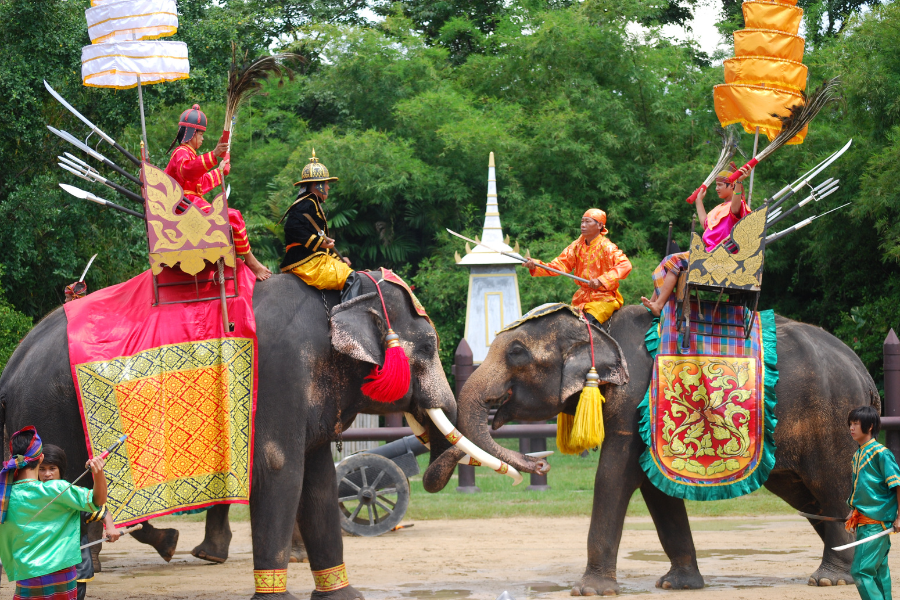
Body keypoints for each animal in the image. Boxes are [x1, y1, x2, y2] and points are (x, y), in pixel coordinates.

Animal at [0, 274, 536, 600]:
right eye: (426, 347)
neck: (337, 298)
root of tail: (10, 368)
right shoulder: (279, 377)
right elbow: (280, 468)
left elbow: (319, 481)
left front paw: (345, 594)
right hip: (51, 421)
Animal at [424, 304, 880, 596]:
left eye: (517, 353)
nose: (539, 466)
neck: (599, 327)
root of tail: (863, 371)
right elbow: (655, 491)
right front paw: (677, 586)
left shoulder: (634, 402)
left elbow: (615, 475)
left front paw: (589, 590)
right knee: (809, 498)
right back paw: (858, 570)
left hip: (833, 420)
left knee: (832, 487)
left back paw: (831, 579)